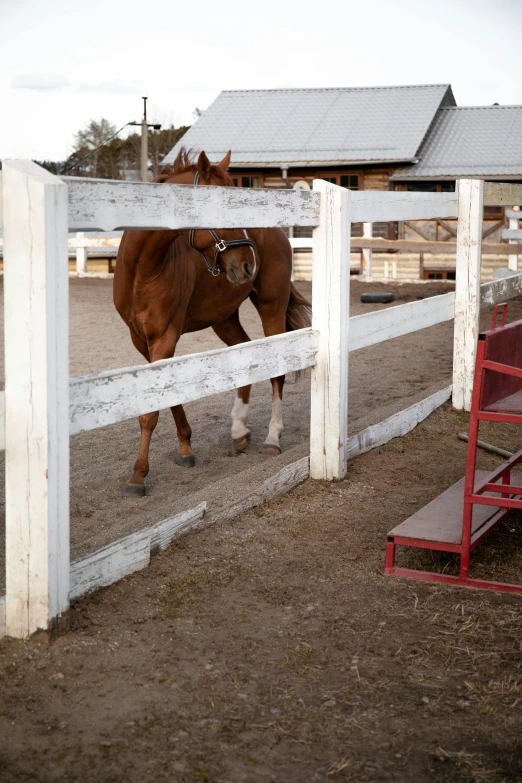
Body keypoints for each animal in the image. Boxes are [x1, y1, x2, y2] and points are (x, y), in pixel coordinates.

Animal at [112, 150, 308, 496]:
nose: (248, 264)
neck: (144, 270)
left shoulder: (165, 337)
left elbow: (152, 409)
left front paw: (138, 476)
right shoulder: (142, 341)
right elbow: (166, 394)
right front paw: (185, 450)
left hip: (271, 308)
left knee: (277, 371)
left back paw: (272, 437)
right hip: (224, 319)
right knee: (246, 352)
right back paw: (239, 430)